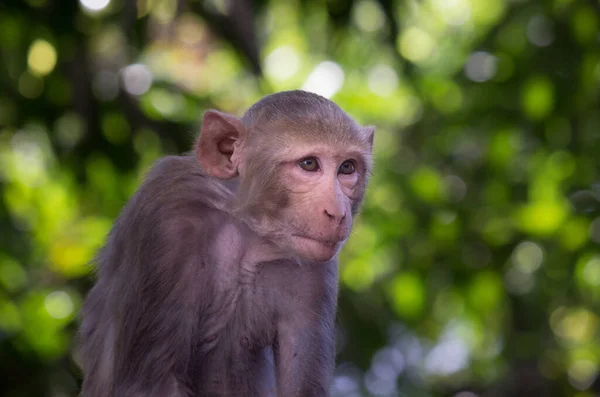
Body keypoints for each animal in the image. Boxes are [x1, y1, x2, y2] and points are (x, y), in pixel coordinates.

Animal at [77, 89, 372, 396]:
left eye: (347, 168)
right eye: (309, 164)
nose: (337, 213)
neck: (246, 229)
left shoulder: (314, 270)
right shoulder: (166, 222)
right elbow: (150, 384)